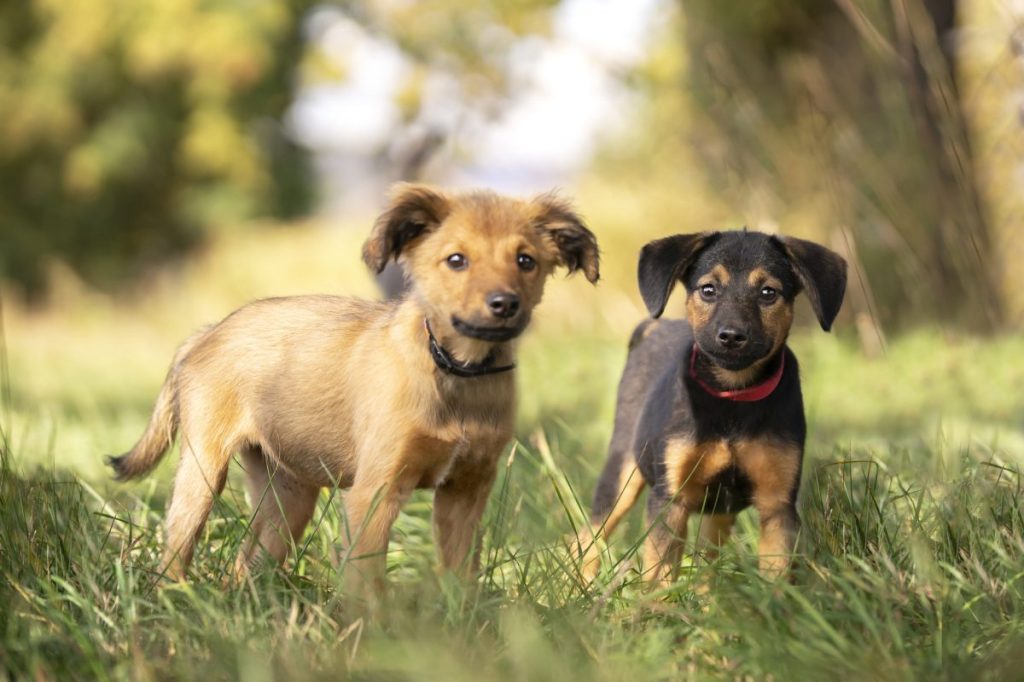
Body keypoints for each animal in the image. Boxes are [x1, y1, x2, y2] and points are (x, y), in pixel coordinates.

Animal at [110, 184, 598, 585]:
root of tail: (208, 331)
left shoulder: (466, 492)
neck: (455, 371)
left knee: (247, 563)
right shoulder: (375, 494)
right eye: (456, 260)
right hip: (201, 475)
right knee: (176, 555)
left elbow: (461, 579)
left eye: (526, 261)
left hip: (289, 495)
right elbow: (368, 584)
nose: (504, 304)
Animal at [585, 231, 847, 581]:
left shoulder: (777, 504)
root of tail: (654, 327)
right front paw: (658, 598)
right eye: (708, 289)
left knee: (706, 562)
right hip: (621, 472)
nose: (732, 336)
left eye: (768, 293)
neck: (733, 396)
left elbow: (776, 577)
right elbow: (659, 575)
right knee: (588, 535)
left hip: (718, 512)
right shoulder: (670, 499)